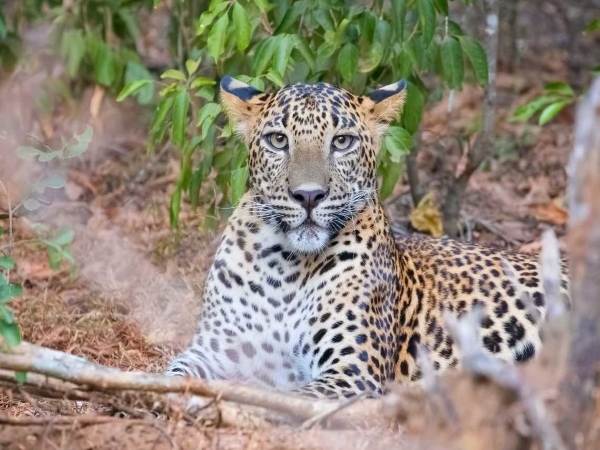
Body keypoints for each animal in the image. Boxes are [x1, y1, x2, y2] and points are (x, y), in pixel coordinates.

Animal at [165, 75, 572, 400]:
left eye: (342, 141)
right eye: (278, 140)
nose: (309, 195)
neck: (285, 265)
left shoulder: (352, 373)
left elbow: (292, 399)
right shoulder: (215, 348)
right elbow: (172, 372)